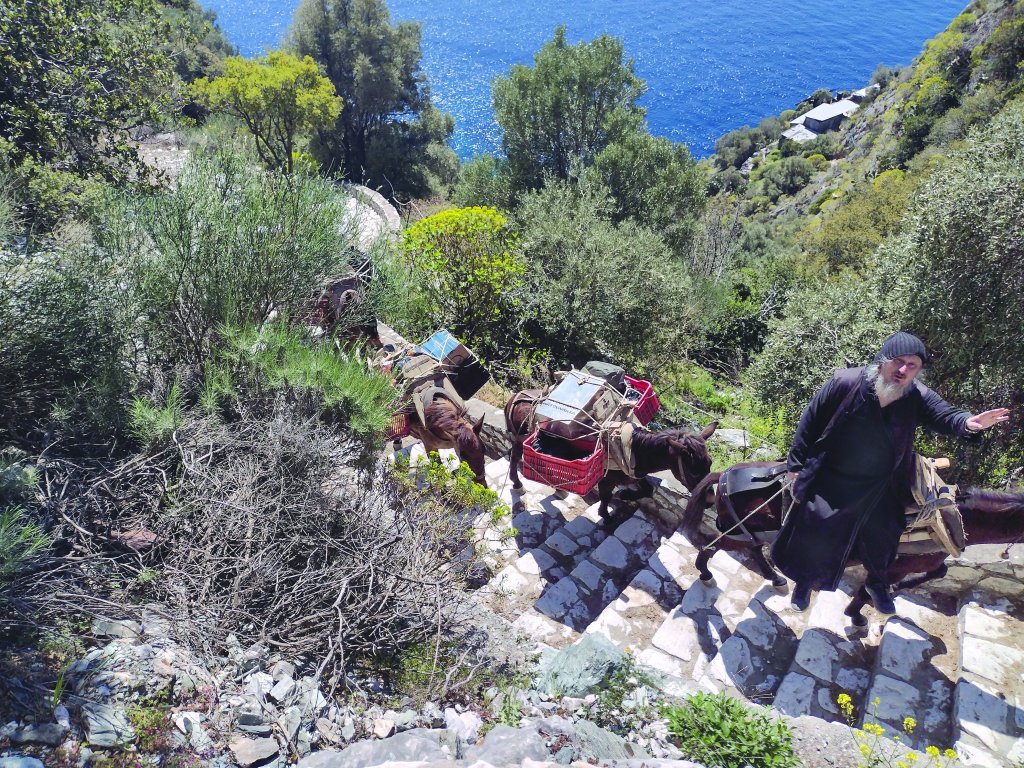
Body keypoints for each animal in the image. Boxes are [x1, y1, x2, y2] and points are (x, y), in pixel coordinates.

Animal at [504, 388, 717, 521]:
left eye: (709, 463)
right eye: (693, 470)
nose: (709, 502)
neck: (632, 447)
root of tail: (518, 395)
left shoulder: (635, 474)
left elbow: (648, 490)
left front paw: (624, 495)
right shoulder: (607, 479)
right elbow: (606, 497)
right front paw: (605, 515)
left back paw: (559, 489)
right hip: (520, 439)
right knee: (514, 457)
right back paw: (518, 485)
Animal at [681, 460, 1024, 626]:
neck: (945, 518)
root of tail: (724, 474)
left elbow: (938, 572)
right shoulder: (894, 565)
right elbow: (872, 587)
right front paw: (859, 614)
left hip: (752, 529)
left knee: (749, 547)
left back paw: (775, 578)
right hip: (740, 527)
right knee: (717, 543)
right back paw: (705, 571)